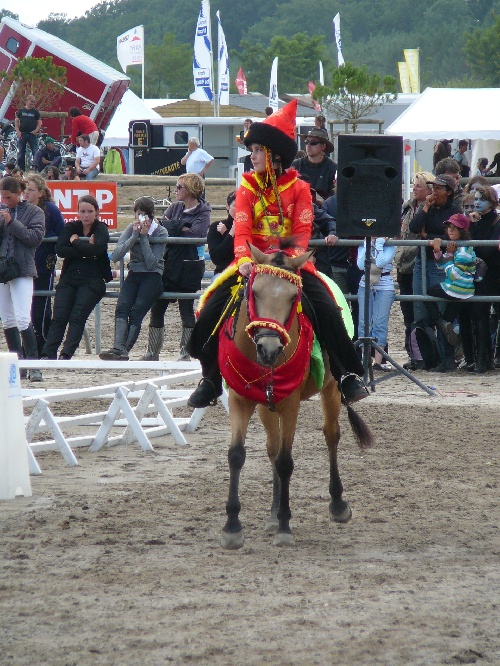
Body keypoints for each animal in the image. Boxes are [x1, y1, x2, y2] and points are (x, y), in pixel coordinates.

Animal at [217, 241, 374, 548]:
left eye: (293, 298)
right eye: (254, 292)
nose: (269, 349)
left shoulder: (290, 404)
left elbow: (285, 461)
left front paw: (284, 527)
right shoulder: (240, 400)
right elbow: (237, 455)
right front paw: (232, 526)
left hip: (331, 390)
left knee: (331, 435)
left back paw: (337, 504)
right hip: (266, 406)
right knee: (272, 446)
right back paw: (272, 513)